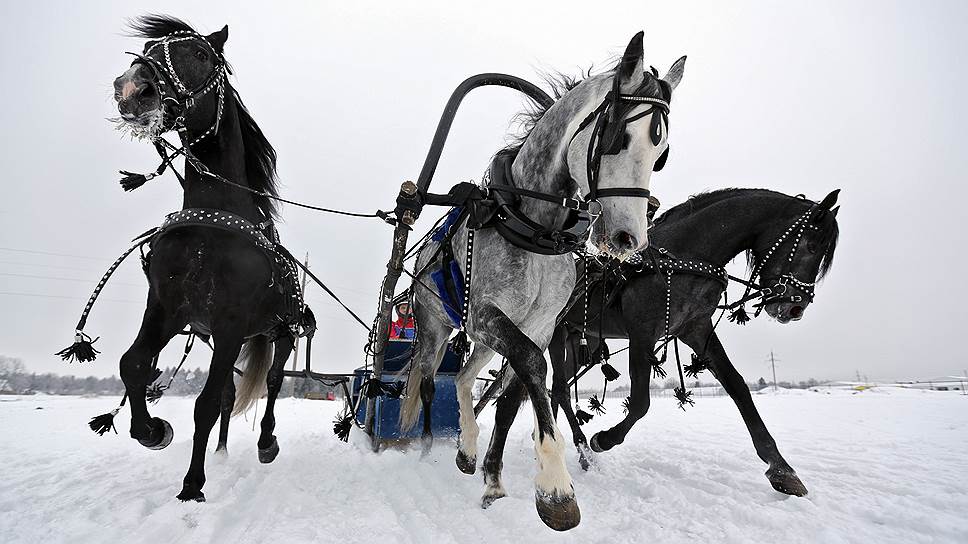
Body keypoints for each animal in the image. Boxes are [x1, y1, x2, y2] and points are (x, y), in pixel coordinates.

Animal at [107, 15, 304, 502]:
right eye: (147, 49)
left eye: (199, 54)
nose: (131, 88)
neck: (211, 225)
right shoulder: (168, 309)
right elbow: (133, 364)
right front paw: (152, 430)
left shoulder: (232, 322)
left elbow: (206, 403)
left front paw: (192, 485)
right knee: (233, 393)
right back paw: (222, 450)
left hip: (280, 331)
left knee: (273, 382)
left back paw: (266, 442)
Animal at [398, 31, 684, 528]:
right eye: (618, 137)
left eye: (660, 153)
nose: (629, 238)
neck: (533, 224)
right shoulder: (487, 314)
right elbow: (533, 366)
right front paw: (556, 486)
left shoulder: (538, 324)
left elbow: (512, 398)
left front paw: (494, 479)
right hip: (436, 326)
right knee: (431, 381)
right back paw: (429, 447)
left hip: (483, 337)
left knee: (465, 377)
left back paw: (466, 450)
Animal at [544, 188, 840, 498]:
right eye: (810, 245)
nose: (795, 308)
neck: (681, 256)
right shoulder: (641, 333)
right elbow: (640, 402)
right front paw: (604, 439)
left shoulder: (697, 329)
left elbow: (737, 386)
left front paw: (780, 468)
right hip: (556, 332)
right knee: (560, 390)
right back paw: (582, 449)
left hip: (581, 342)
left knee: (556, 390)